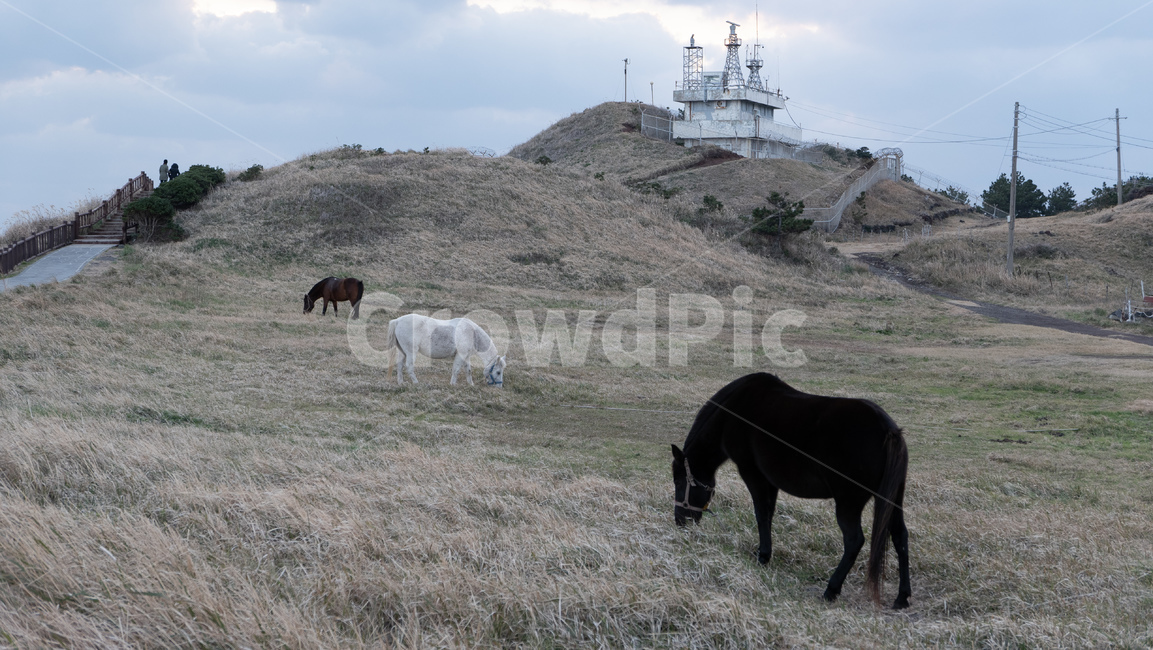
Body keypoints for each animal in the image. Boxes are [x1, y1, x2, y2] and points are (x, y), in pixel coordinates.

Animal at [671, 373, 911, 609]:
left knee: (854, 541)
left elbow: (761, 514)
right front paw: (765, 554)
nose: (680, 522)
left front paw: (762, 557)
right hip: (892, 501)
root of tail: (888, 430)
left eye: (680, 482)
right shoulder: (770, 481)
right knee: (900, 536)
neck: (734, 411)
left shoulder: (752, 474)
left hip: (848, 504)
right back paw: (902, 597)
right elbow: (768, 515)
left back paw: (831, 590)